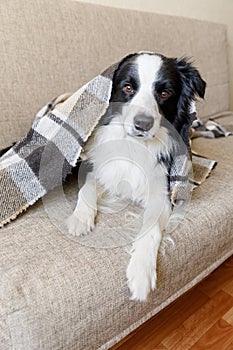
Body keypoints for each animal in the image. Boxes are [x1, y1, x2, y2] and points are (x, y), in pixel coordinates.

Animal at [66, 52, 206, 300]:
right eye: (128, 87)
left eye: (164, 93)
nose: (143, 124)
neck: (134, 145)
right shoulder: (103, 168)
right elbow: (87, 187)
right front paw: (80, 218)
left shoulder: (162, 193)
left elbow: (150, 229)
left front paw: (141, 273)